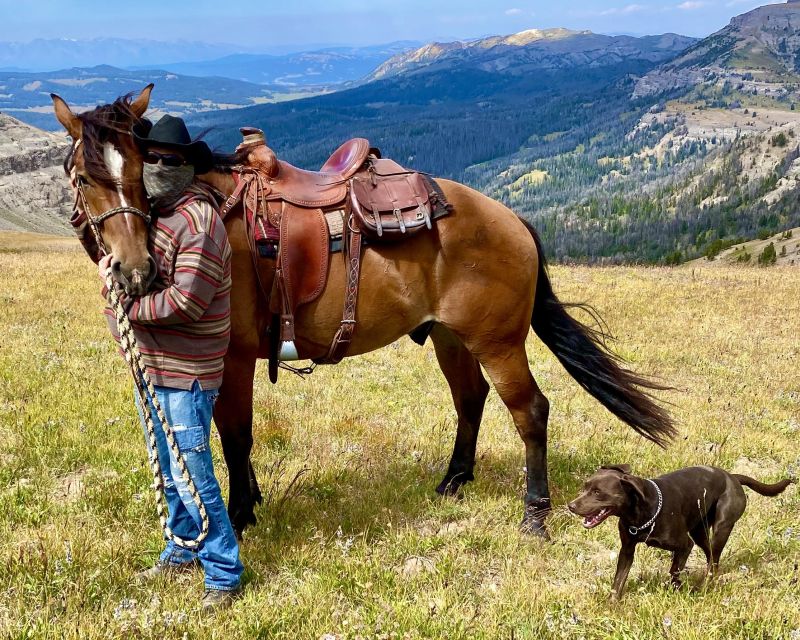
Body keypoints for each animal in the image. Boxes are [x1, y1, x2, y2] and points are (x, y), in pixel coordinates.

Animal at [51, 85, 676, 540]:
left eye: (137, 171)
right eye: (84, 176)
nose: (135, 272)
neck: (212, 208)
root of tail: (512, 219)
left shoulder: (234, 355)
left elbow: (235, 434)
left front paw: (243, 514)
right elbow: (232, 434)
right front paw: (250, 501)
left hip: (498, 343)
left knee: (530, 412)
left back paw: (534, 514)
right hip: (449, 337)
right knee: (470, 399)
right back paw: (454, 480)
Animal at [568, 462, 792, 596]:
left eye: (598, 492)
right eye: (584, 487)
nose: (571, 506)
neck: (642, 511)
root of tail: (732, 477)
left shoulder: (684, 545)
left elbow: (674, 570)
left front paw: (676, 589)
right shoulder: (627, 550)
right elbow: (618, 581)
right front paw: (612, 605)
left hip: (721, 527)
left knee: (714, 559)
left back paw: (705, 586)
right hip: (700, 531)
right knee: (711, 556)